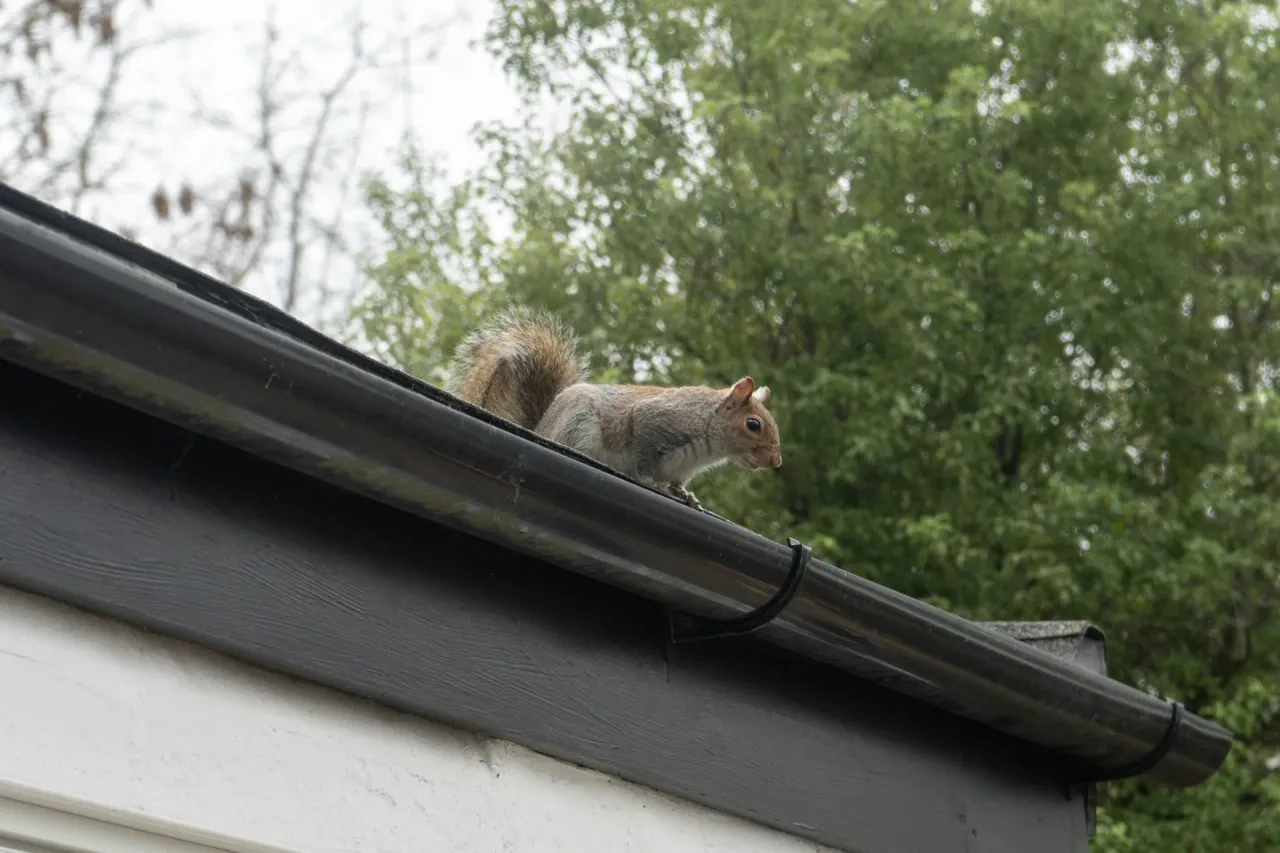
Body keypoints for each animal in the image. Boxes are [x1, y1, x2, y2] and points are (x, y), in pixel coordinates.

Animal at [447, 307, 782, 510]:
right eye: (754, 425)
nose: (775, 462)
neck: (708, 443)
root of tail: (540, 426)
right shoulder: (660, 421)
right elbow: (644, 458)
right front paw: (650, 481)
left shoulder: (681, 468)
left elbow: (678, 483)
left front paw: (687, 496)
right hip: (578, 424)